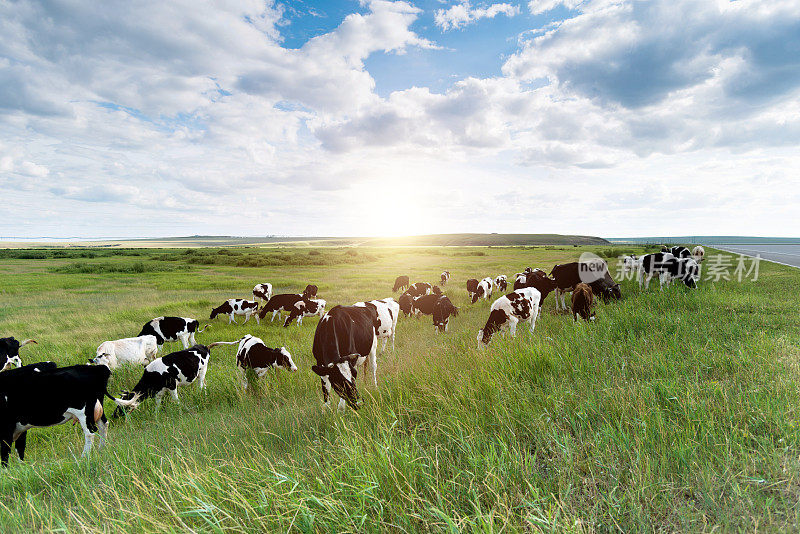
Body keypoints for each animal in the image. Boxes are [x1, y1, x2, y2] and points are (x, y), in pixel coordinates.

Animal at [0, 364, 137, 464]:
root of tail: (96, 368)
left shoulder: (7, 427)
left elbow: (5, 452)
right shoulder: (20, 426)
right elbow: (20, 449)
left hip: (84, 412)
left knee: (90, 432)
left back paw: (84, 458)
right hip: (97, 408)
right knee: (104, 425)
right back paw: (101, 450)